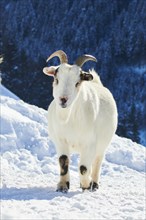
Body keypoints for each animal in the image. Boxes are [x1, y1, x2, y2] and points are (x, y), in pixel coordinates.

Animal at [43, 50, 117, 192]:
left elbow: (83, 168)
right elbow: (63, 162)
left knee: (97, 162)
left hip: (102, 144)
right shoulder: (61, 141)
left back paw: (94, 184)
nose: (63, 99)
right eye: (56, 79)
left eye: (77, 83)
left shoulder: (89, 143)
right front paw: (62, 186)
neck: (69, 119)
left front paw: (86, 185)